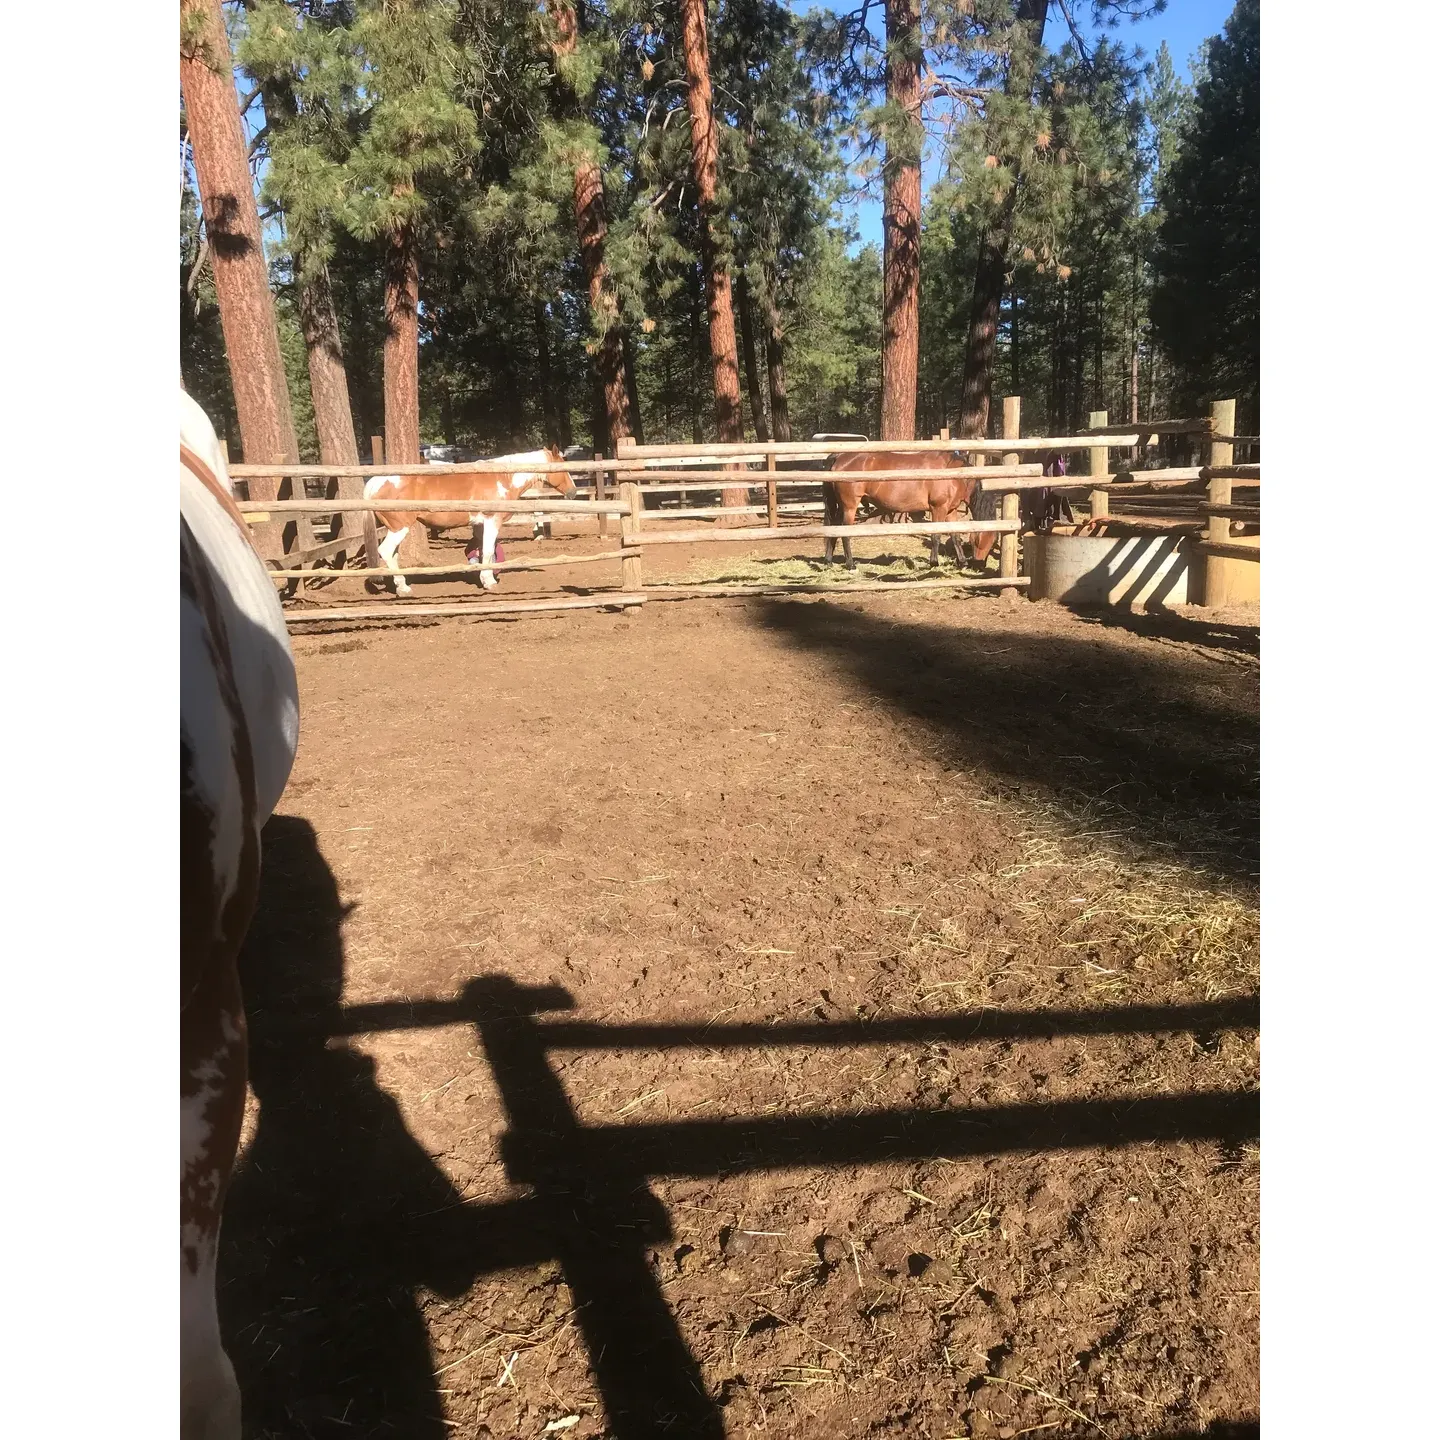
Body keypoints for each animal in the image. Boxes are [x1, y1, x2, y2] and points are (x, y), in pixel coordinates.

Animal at [823, 449, 1002, 567]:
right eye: (979, 540)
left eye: (993, 541)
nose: (979, 565)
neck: (954, 475)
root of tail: (839, 457)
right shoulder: (938, 508)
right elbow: (936, 536)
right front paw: (934, 562)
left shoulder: (950, 511)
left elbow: (955, 536)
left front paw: (962, 561)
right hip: (850, 507)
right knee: (845, 534)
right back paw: (850, 564)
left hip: (841, 507)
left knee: (833, 529)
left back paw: (829, 560)